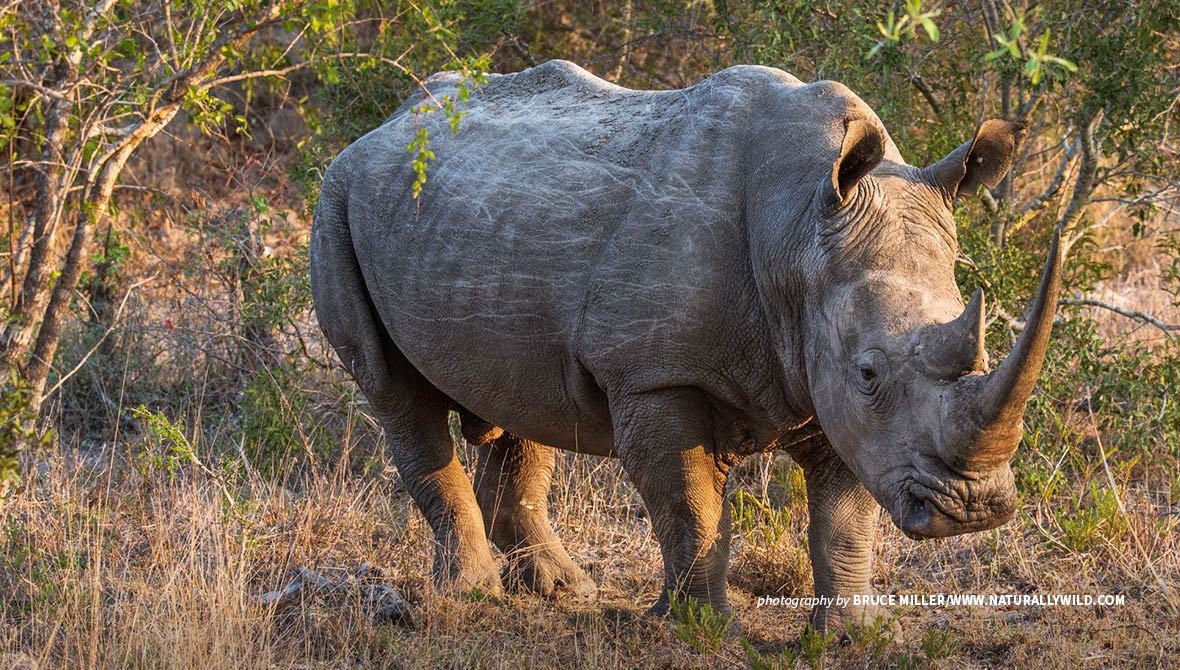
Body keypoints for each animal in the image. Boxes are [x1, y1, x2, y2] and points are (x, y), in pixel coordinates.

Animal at [309, 60, 1061, 632]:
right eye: (870, 371)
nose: (973, 510)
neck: (799, 234)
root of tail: (383, 125)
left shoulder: (825, 378)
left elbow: (845, 517)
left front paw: (853, 635)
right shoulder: (655, 374)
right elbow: (689, 507)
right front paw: (701, 629)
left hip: (472, 226)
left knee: (518, 399)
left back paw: (562, 590)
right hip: (336, 199)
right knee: (394, 391)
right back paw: (472, 597)